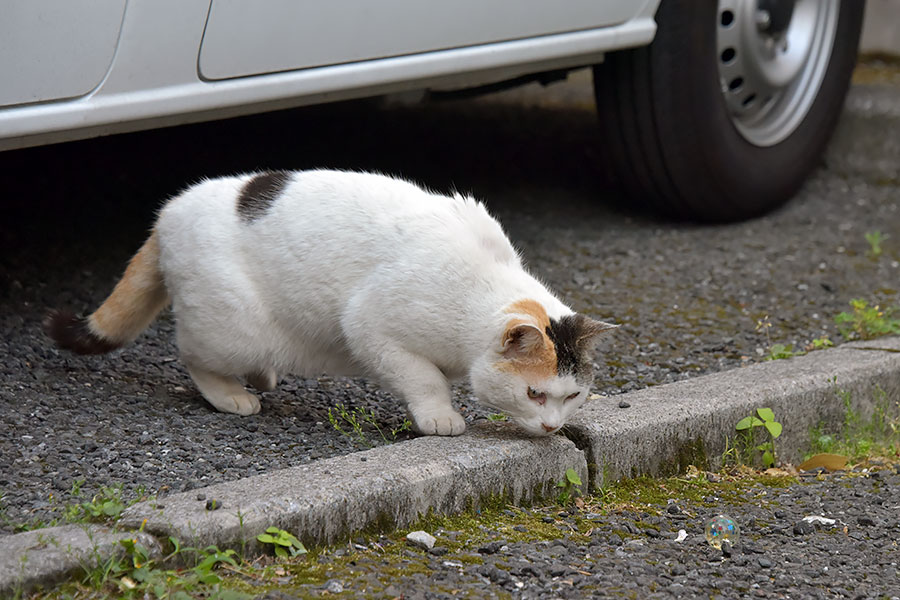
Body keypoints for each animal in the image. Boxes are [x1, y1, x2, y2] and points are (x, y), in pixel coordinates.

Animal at [45, 169, 616, 436]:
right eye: (535, 393)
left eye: (572, 396)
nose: (552, 427)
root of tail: (166, 214)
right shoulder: (370, 325)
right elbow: (425, 378)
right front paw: (439, 416)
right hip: (230, 327)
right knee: (192, 354)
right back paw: (232, 395)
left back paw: (261, 378)